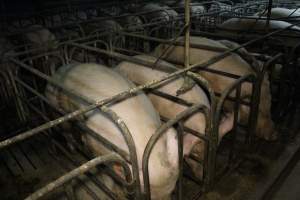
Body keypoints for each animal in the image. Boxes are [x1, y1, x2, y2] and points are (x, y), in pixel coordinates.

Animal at [45, 63, 179, 200]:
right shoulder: (97, 144)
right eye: (145, 194)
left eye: (173, 191)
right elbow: (107, 172)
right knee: (65, 131)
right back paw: (71, 149)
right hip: (55, 108)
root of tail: (58, 70)